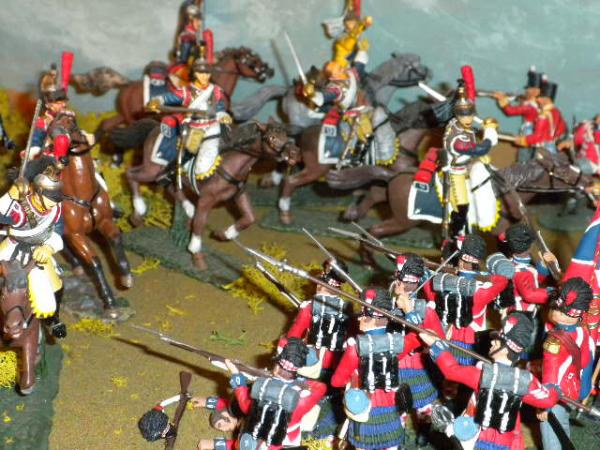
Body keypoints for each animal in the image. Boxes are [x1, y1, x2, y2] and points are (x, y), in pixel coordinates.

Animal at [0, 260, 41, 394]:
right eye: (3, 295)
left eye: (26, 294)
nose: (13, 327)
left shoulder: (31, 336)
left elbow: (29, 359)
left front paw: (26, 384)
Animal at [59, 126, 132, 318]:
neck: (83, 195)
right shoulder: (76, 235)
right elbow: (95, 261)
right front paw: (110, 302)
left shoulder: (105, 222)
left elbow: (116, 240)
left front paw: (126, 277)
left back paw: (76, 266)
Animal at [72, 48, 274, 135]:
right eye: (250, 59)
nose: (269, 71)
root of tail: (127, 85)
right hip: (131, 119)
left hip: (125, 115)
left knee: (106, 125)